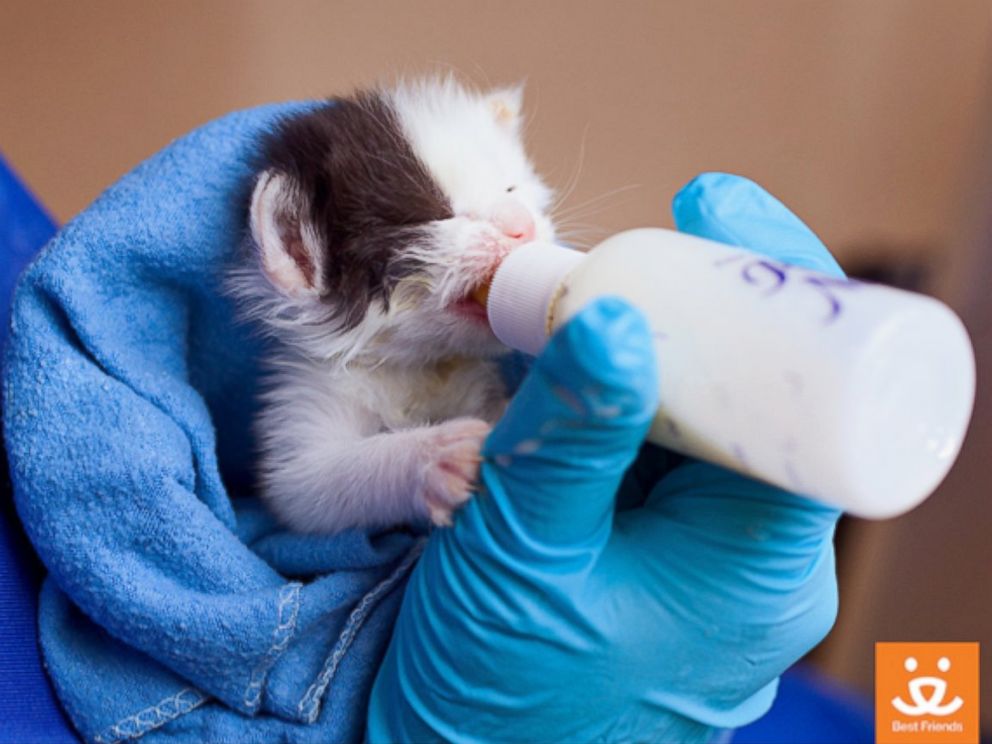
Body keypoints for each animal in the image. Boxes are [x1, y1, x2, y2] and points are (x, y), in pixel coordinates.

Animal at [232, 78, 560, 532]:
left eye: (510, 189)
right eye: (433, 216)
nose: (521, 225)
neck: (420, 365)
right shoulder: (303, 396)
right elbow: (311, 482)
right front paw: (435, 457)